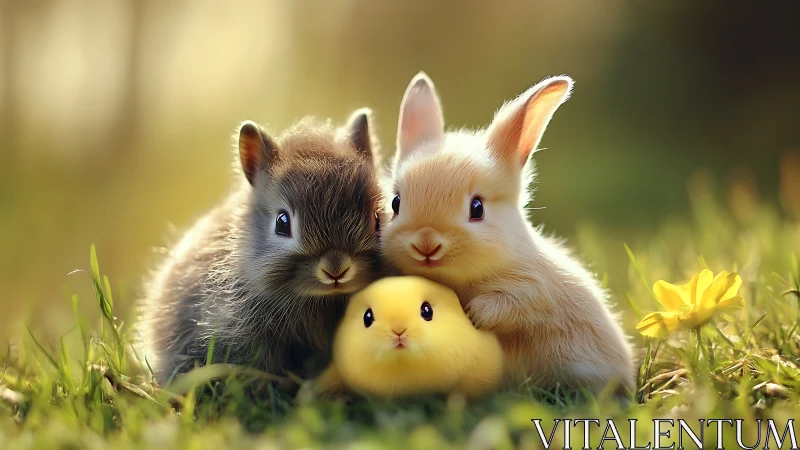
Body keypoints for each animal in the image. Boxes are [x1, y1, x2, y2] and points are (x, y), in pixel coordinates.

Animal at [380, 72, 635, 394]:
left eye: (477, 208)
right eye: (395, 203)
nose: (426, 244)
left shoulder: (534, 288)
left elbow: (513, 305)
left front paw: (473, 314)